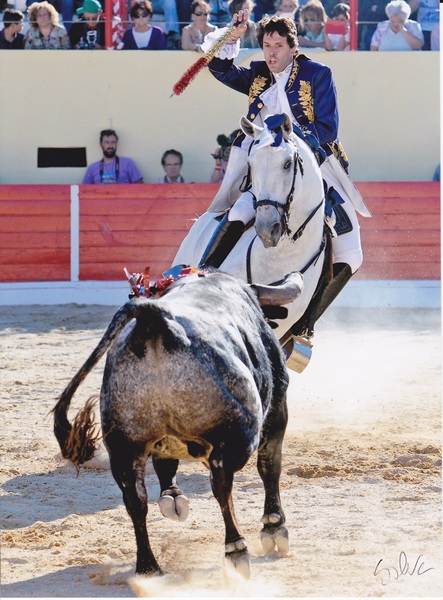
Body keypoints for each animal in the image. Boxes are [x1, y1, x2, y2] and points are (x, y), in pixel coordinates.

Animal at [52, 269, 303, 577]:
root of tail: (153, 318)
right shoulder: (278, 407)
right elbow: (270, 466)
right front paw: (274, 528)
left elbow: (165, 463)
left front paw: (172, 497)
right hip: (237, 433)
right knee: (222, 483)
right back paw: (235, 550)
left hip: (123, 447)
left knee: (135, 499)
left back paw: (148, 568)